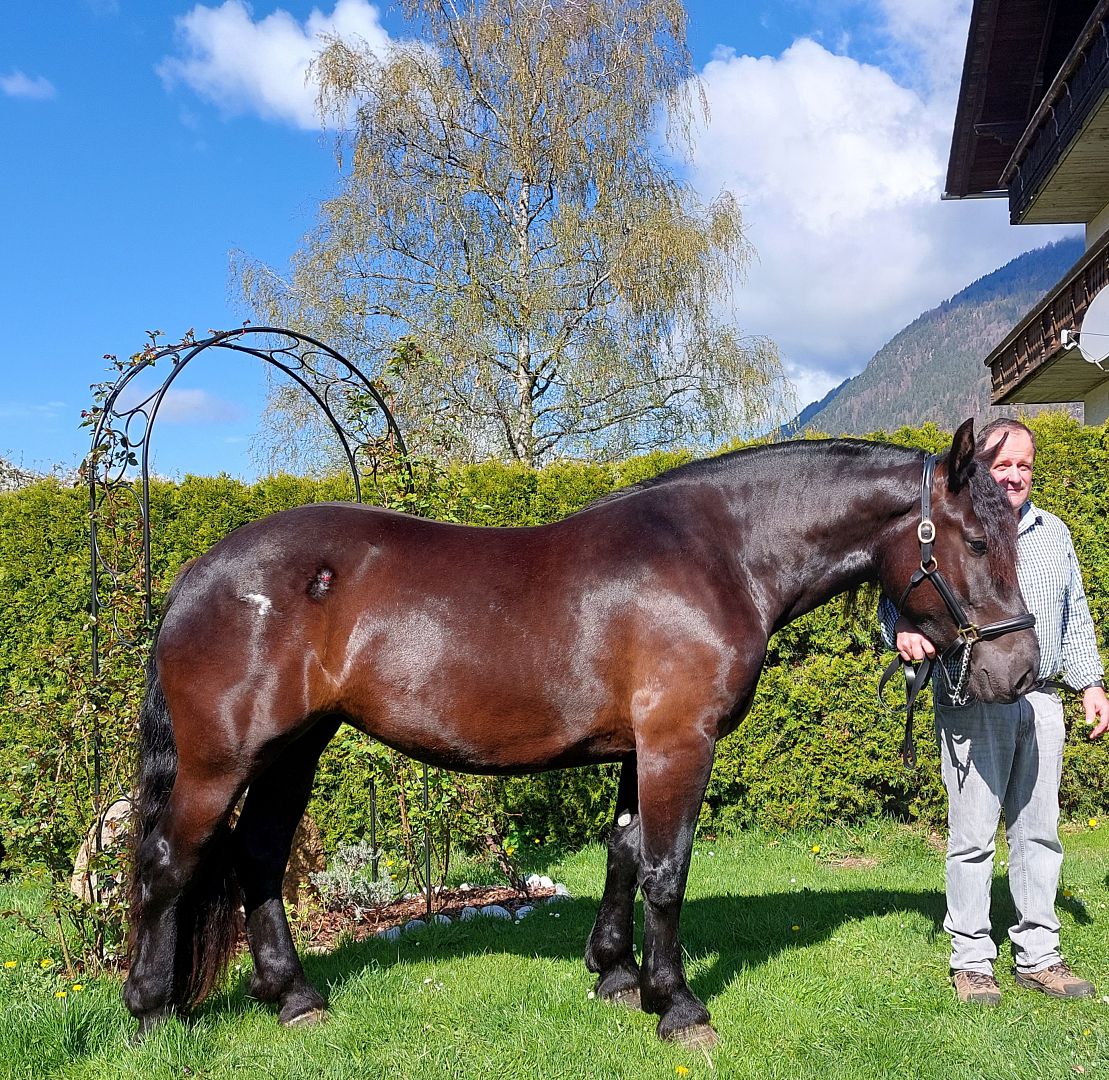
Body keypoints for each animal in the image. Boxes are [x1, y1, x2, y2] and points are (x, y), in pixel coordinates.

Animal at [123, 418, 1039, 1047]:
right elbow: (666, 871)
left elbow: (624, 852)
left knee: (256, 858)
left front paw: (615, 974)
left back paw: (295, 997)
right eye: (977, 539)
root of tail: (195, 574)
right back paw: (151, 1011)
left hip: (291, 753)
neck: (720, 553)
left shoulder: (639, 747)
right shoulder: (678, 740)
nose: (1022, 669)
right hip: (222, 760)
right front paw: (677, 1005)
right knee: (170, 862)